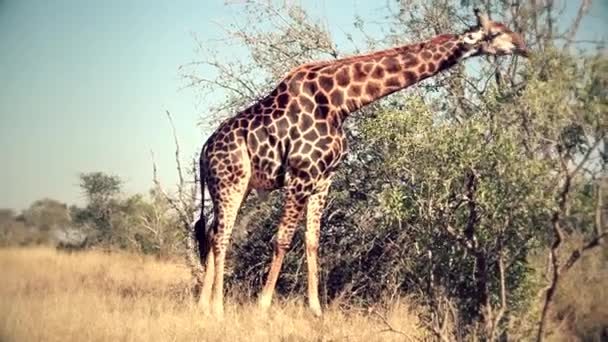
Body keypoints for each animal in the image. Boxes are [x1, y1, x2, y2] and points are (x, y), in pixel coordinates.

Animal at [194, 8, 528, 318]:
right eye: (497, 32)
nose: (524, 46)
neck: (340, 102)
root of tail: (203, 150)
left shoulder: (323, 178)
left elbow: (312, 240)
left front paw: (316, 309)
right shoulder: (300, 173)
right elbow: (283, 239)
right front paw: (262, 306)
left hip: (235, 186)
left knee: (211, 232)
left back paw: (202, 305)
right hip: (231, 181)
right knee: (222, 236)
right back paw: (218, 309)